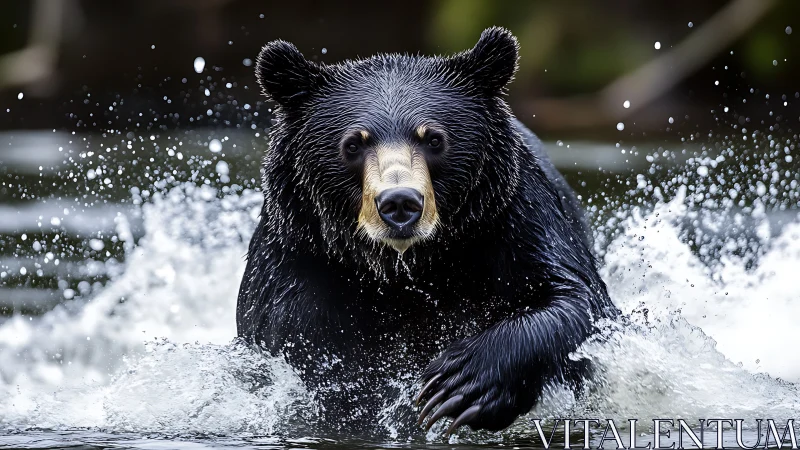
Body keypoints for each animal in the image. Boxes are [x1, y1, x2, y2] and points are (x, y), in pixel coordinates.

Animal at [236, 27, 615, 435]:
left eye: (434, 138)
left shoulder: (513, 217)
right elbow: (291, 333)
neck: (408, 267)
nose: (400, 203)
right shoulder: (299, 250)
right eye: (352, 143)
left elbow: (574, 298)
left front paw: (458, 383)